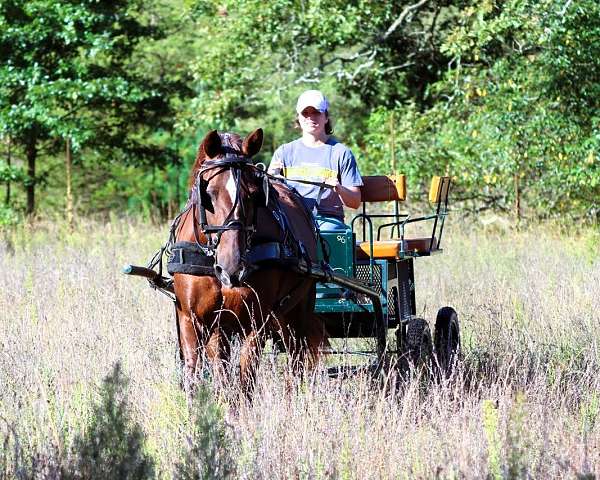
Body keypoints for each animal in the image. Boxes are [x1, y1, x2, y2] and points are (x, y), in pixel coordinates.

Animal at [169, 128, 328, 394]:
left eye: (254, 195)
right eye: (208, 195)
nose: (232, 268)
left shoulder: (256, 322)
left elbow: (245, 383)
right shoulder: (193, 319)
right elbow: (198, 374)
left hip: (297, 312)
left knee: (296, 363)